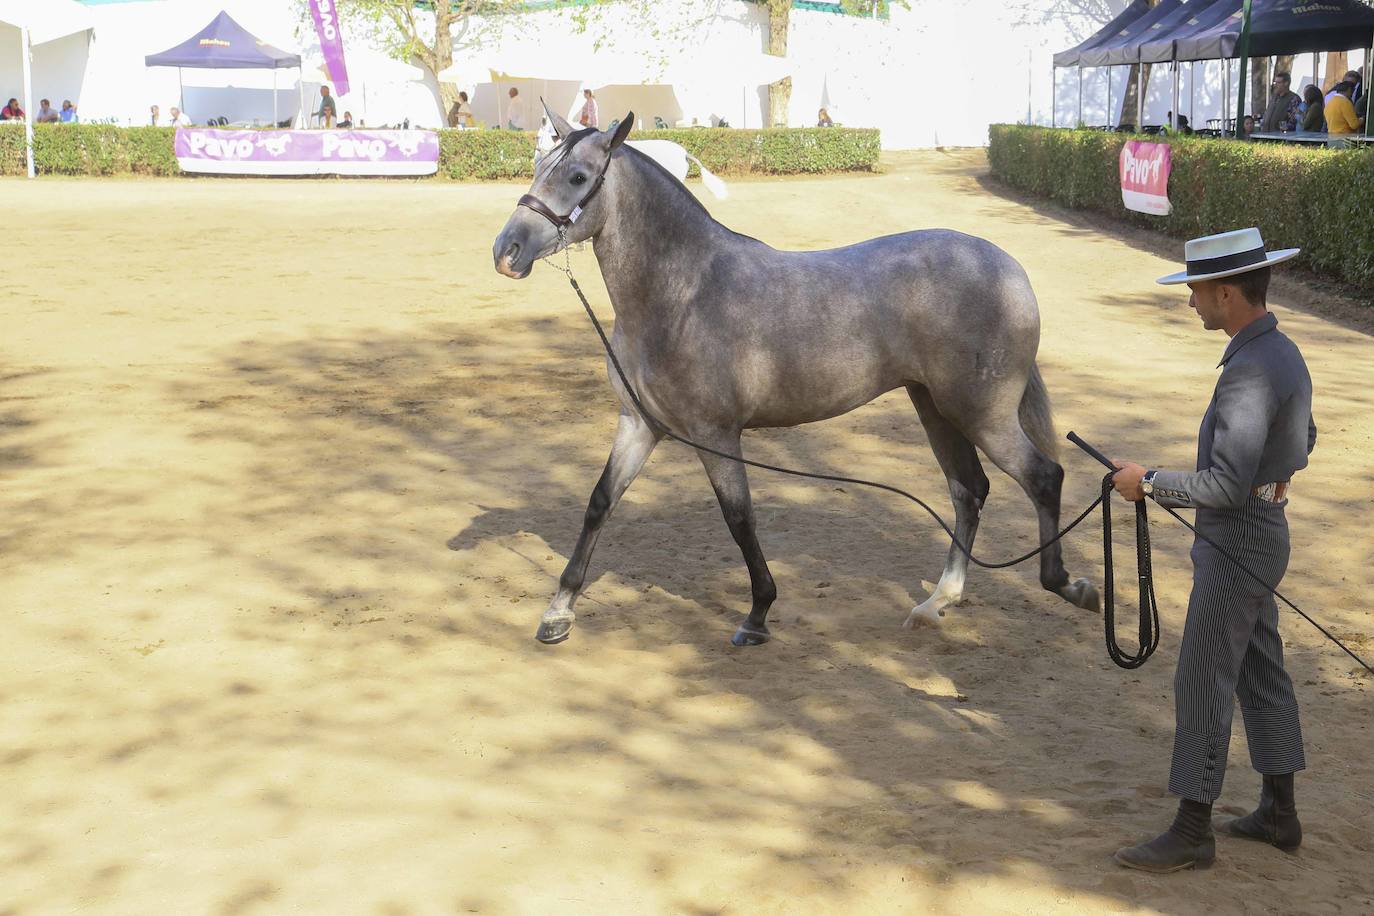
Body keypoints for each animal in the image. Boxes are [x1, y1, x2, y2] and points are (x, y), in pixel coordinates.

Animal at [489, 107, 1099, 648]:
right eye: (538, 164)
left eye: (577, 176)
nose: (506, 251)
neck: (683, 292)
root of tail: (1009, 269)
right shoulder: (639, 426)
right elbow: (598, 504)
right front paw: (557, 613)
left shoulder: (715, 435)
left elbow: (740, 519)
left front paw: (758, 615)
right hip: (934, 408)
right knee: (968, 490)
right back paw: (936, 603)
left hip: (982, 414)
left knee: (1043, 478)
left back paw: (1070, 586)